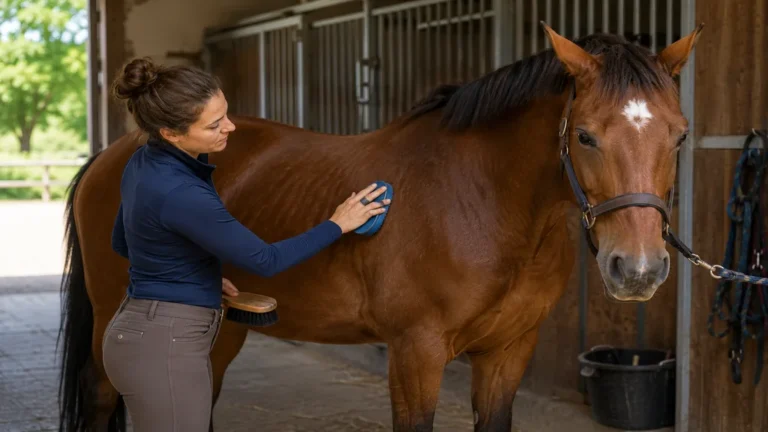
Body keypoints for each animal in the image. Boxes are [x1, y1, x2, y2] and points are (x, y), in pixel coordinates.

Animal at [57, 24, 702, 432]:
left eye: (680, 135)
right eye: (585, 135)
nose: (637, 269)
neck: (483, 202)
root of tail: (116, 154)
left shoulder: (508, 352)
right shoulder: (415, 353)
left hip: (223, 328)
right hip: (114, 322)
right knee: (102, 399)